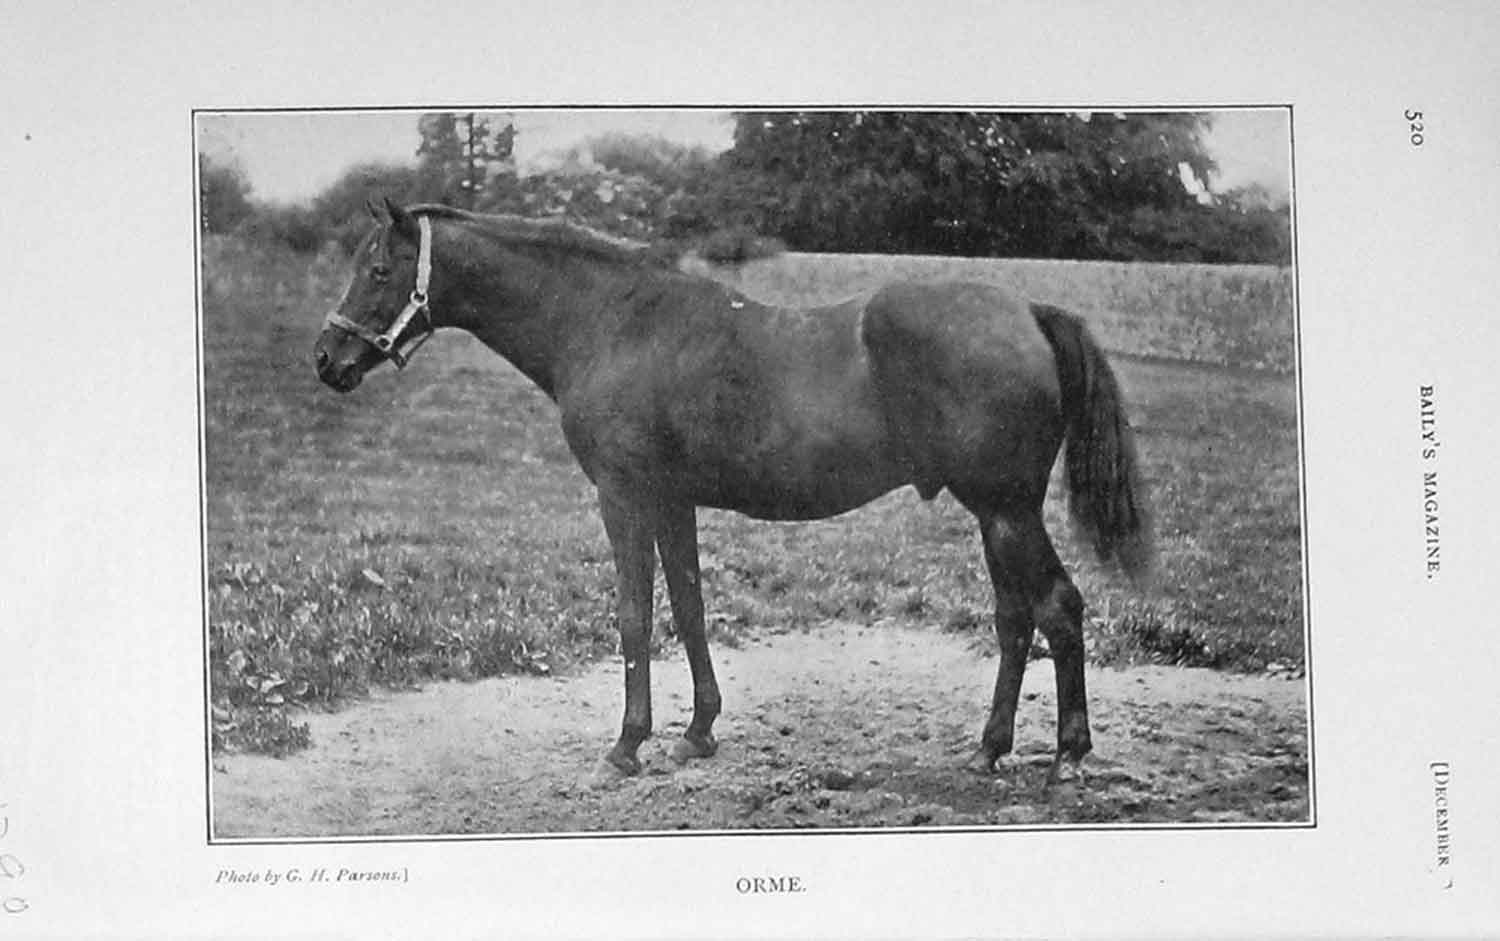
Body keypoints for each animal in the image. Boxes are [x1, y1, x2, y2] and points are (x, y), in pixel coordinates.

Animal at [314, 198, 1151, 784]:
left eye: (379, 271)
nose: (327, 358)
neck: (610, 321)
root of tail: (1030, 311)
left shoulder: (624, 498)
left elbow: (634, 617)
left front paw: (626, 745)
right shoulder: (672, 503)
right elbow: (688, 608)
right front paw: (697, 732)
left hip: (1007, 510)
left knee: (1058, 608)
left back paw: (1068, 756)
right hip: (994, 513)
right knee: (1015, 620)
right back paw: (988, 749)